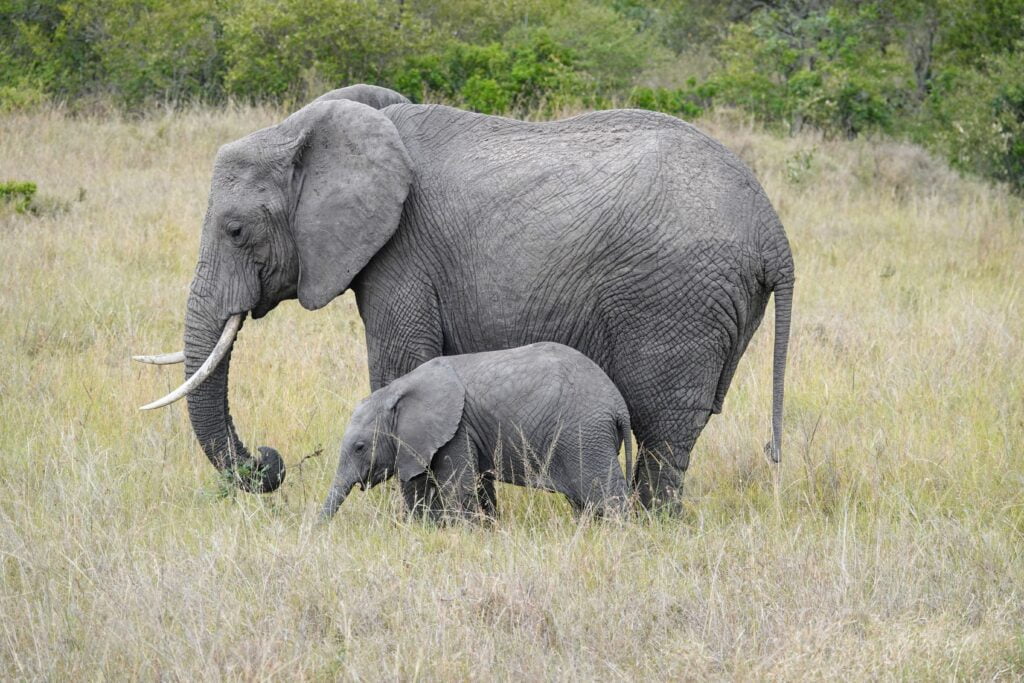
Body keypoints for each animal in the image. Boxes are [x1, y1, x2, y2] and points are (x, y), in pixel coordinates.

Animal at [321, 342, 630, 524]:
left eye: (360, 447)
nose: (318, 530)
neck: (397, 389)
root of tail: (619, 407)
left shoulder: (455, 430)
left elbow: (458, 489)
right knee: (584, 501)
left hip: (583, 435)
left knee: (606, 495)